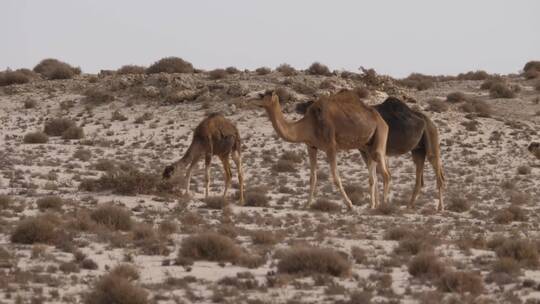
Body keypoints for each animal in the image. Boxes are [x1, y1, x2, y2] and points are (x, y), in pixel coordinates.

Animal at [255, 89, 390, 210]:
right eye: (261, 95)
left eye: (265, 97)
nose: (256, 101)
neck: (308, 125)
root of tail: (382, 120)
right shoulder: (311, 146)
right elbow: (312, 178)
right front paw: (306, 205)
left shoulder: (330, 147)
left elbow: (336, 178)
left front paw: (350, 205)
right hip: (365, 147)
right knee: (373, 175)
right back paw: (373, 205)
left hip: (380, 135)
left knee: (385, 173)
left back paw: (384, 205)